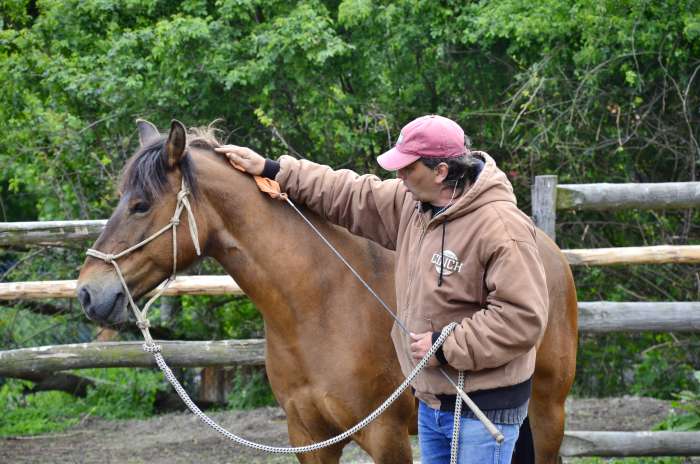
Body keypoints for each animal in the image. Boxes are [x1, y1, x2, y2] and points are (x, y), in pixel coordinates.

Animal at [78, 120, 580, 464]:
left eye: (141, 205)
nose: (87, 292)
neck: (318, 305)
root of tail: (546, 249)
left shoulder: (386, 437)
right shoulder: (309, 437)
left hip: (546, 413)